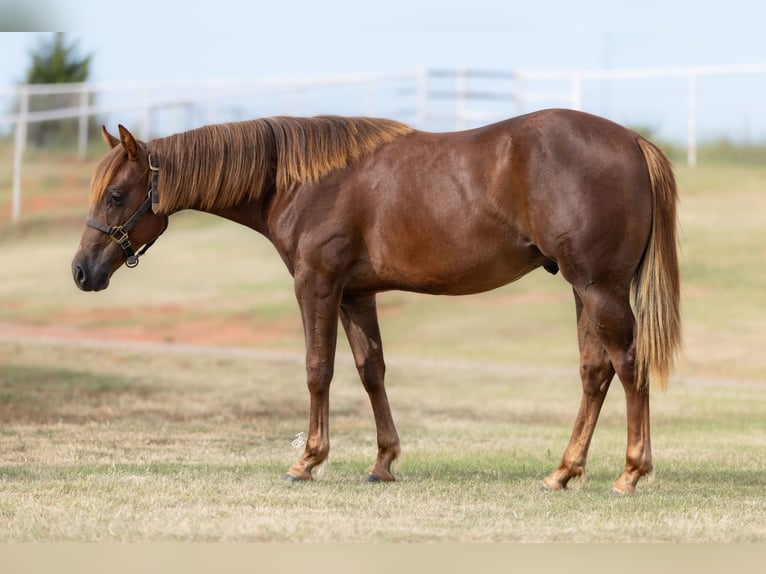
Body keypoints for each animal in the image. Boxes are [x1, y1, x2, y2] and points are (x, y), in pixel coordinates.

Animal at [71, 109, 681, 494]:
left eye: (117, 195)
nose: (81, 271)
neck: (300, 182)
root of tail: (633, 142)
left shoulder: (316, 285)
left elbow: (318, 369)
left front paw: (307, 461)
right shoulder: (356, 295)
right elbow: (372, 371)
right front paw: (383, 463)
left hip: (598, 289)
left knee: (629, 367)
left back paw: (630, 473)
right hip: (583, 290)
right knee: (595, 373)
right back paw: (562, 472)